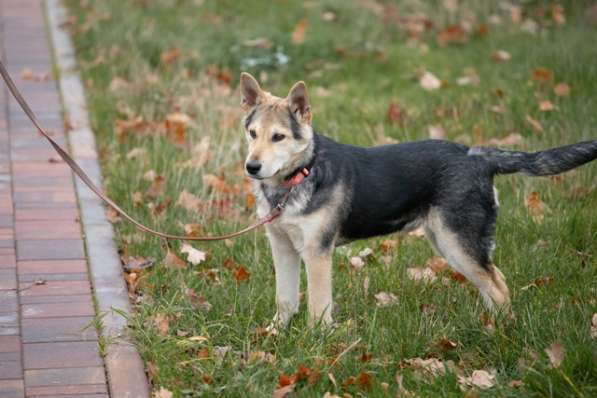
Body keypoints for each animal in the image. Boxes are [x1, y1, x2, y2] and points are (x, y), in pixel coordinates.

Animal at [239, 73, 596, 328]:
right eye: (252, 133)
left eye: (279, 137)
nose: (251, 167)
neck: (299, 174)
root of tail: (479, 156)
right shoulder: (283, 246)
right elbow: (285, 298)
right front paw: (275, 333)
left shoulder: (317, 252)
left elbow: (317, 306)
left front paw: (317, 343)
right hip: (448, 242)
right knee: (495, 281)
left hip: (457, 242)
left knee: (498, 286)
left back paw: (502, 333)